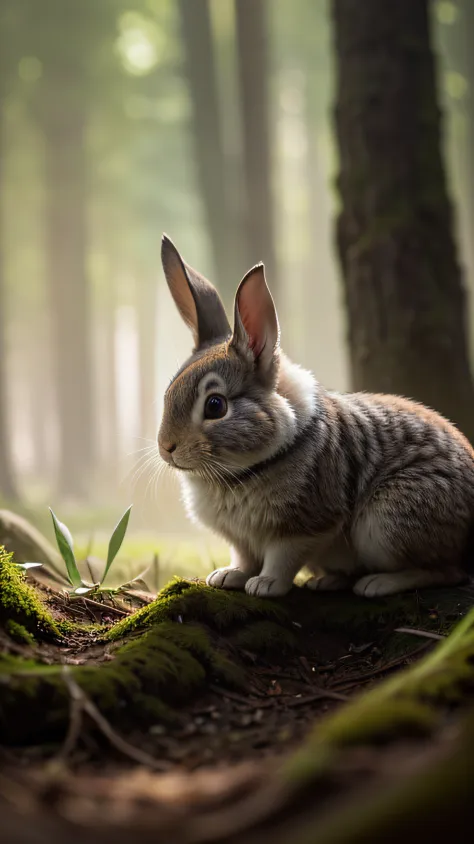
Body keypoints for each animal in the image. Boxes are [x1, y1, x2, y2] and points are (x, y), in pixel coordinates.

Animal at [157, 234, 474, 596]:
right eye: (169, 391)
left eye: (215, 406)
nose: (166, 447)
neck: (245, 469)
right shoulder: (242, 541)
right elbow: (244, 557)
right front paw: (228, 576)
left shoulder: (303, 527)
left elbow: (282, 558)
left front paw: (265, 585)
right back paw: (327, 581)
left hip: (388, 523)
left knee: (446, 571)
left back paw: (377, 584)